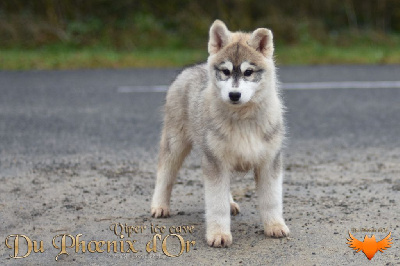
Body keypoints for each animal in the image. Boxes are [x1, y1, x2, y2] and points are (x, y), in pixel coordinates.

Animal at [152, 19, 290, 247]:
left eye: (248, 72)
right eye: (225, 71)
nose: (234, 95)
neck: (242, 118)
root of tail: (192, 67)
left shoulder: (269, 161)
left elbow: (271, 199)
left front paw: (275, 226)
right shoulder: (215, 162)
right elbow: (216, 204)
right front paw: (218, 234)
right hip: (175, 143)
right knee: (165, 173)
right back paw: (159, 205)